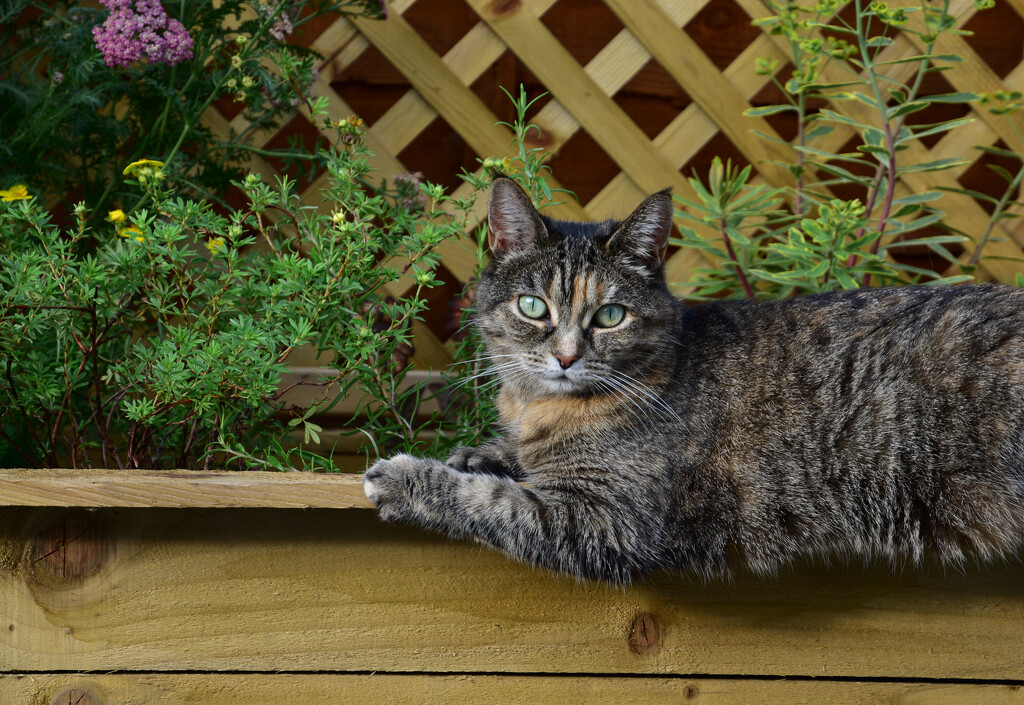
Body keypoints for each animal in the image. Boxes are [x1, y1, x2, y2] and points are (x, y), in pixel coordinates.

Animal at [358, 176, 1024, 582]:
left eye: (610, 315)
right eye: (532, 307)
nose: (567, 357)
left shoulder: (606, 519)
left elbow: (493, 502)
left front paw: (408, 478)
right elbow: (502, 462)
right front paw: (478, 452)